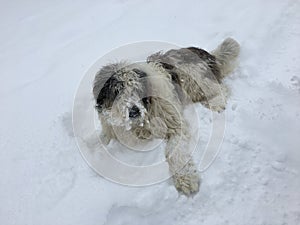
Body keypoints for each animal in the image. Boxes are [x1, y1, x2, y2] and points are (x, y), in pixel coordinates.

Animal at [92, 37, 240, 196]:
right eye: (117, 90)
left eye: (137, 89)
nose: (134, 111)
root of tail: (206, 54)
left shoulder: (174, 123)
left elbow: (175, 152)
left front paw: (186, 178)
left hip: (193, 78)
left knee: (219, 88)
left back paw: (216, 103)